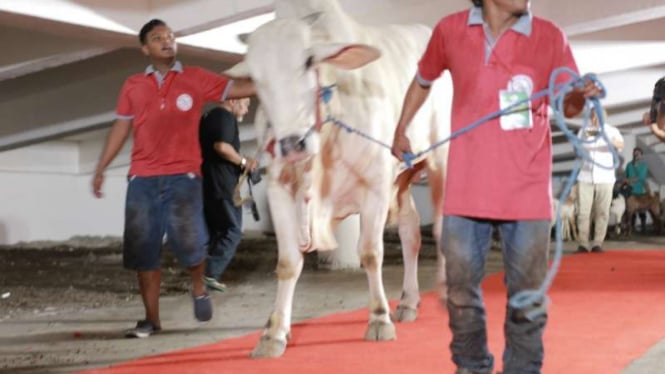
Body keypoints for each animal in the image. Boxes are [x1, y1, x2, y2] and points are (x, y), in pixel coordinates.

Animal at [226, 0, 448, 358]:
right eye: (255, 78)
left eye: (308, 61)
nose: (292, 144)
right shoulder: (279, 191)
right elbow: (288, 263)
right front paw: (274, 334)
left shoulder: (375, 186)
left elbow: (371, 253)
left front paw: (378, 318)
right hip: (403, 177)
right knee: (411, 231)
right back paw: (409, 301)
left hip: (442, 158)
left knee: (442, 228)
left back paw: (444, 291)